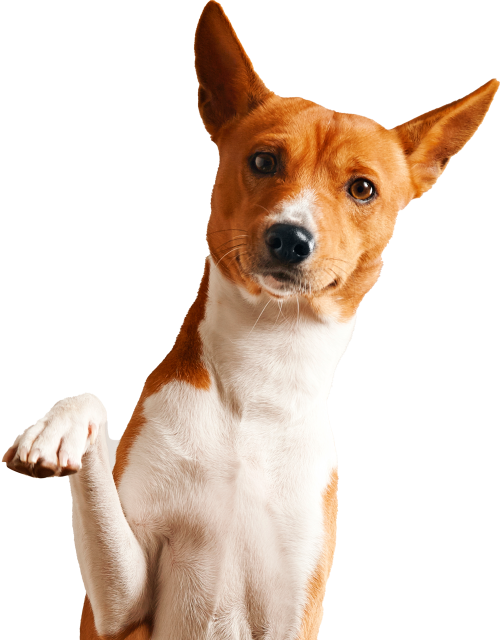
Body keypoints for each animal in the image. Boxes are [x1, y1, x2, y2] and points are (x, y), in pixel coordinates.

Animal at [1, 2, 498, 636]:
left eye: (362, 189)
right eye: (264, 160)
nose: (291, 237)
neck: (262, 374)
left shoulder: (296, 608)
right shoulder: (119, 610)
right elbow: (90, 401)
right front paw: (56, 430)